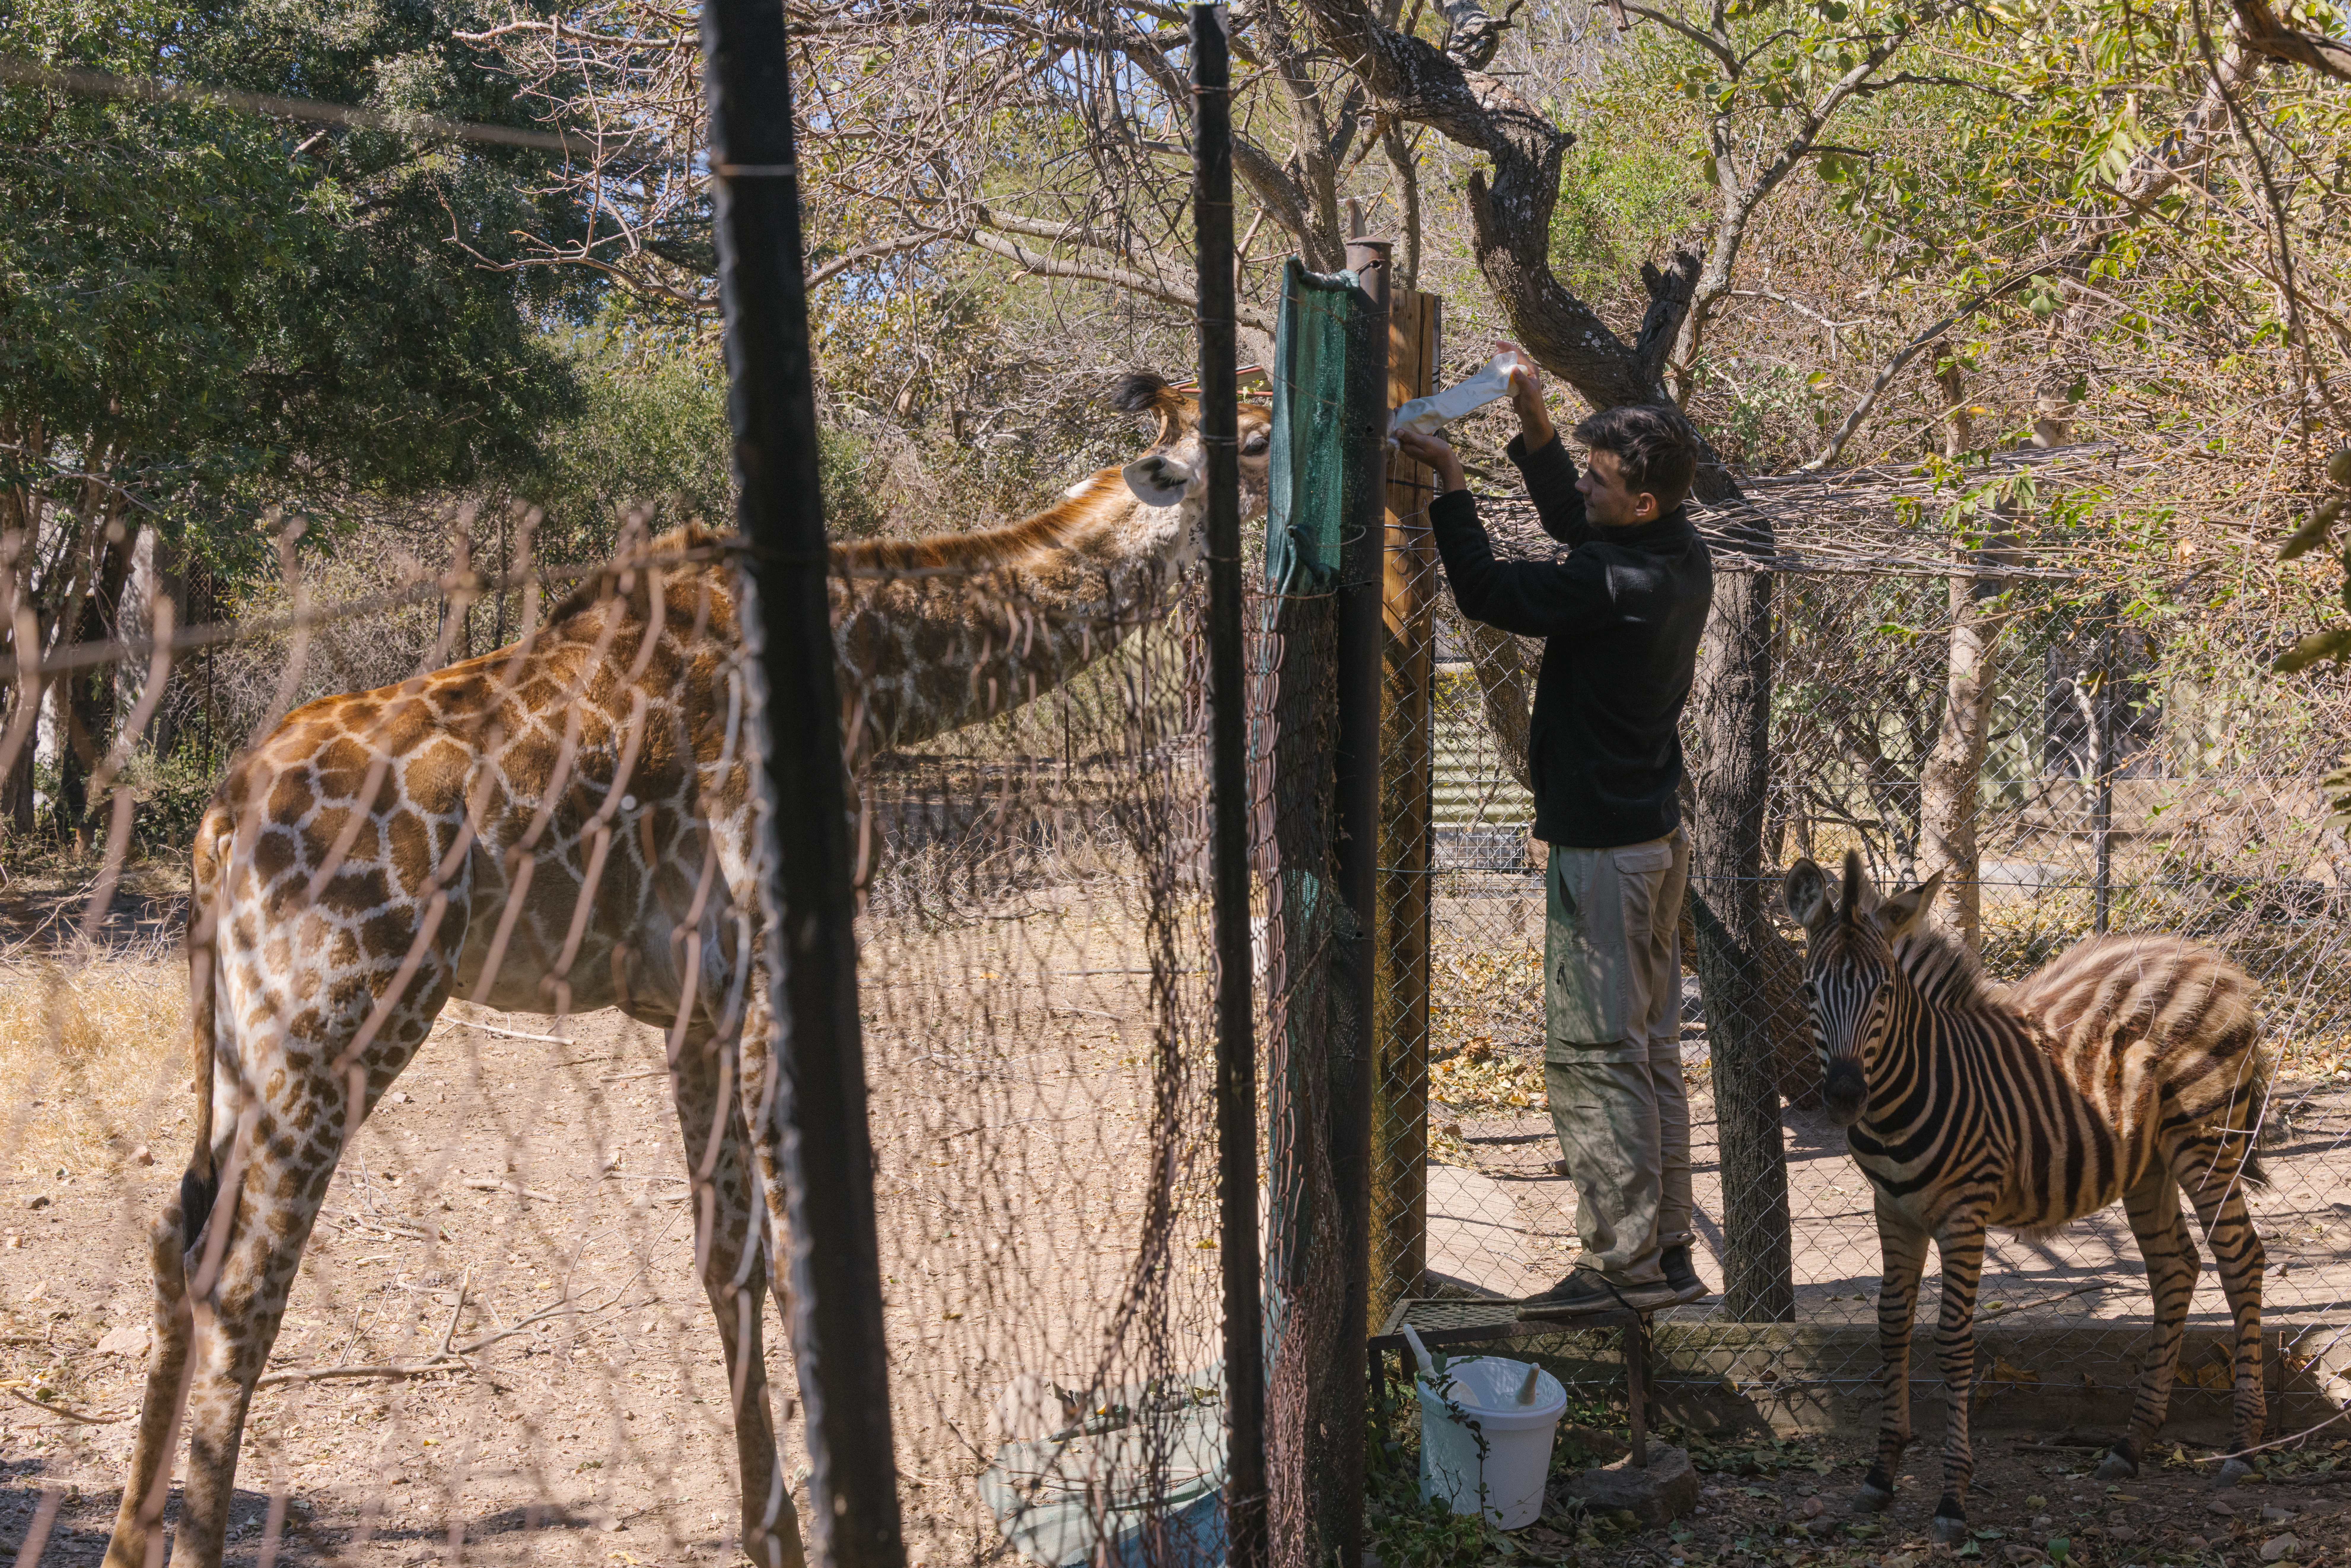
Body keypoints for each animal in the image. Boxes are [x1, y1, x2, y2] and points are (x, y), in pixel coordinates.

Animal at [101, 371, 1269, 1568]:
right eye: (1258, 440)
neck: (866, 668)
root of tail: (219, 825)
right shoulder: (759, 961)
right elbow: (788, 1251)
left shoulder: (689, 1006)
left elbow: (723, 1254)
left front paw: (773, 1532)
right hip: (345, 1016)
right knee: (248, 1282)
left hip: (241, 1036)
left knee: (177, 1241)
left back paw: (126, 1544)